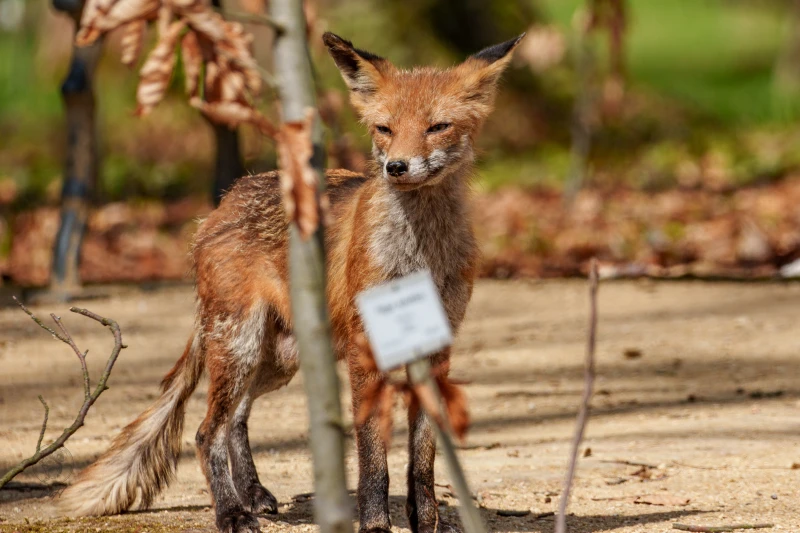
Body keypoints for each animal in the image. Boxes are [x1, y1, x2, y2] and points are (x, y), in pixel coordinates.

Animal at [58, 31, 523, 533]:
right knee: (205, 432)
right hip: (240, 344)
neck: (418, 253)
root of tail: (223, 203)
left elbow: (423, 456)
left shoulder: (436, 348)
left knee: (236, 419)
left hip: (283, 359)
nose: (396, 167)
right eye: (384, 129)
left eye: (437, 127)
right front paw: (375, 522)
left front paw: (428, 521)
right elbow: (372, 454)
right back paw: (231, 512)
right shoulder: (366, 349)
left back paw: (253, 493)